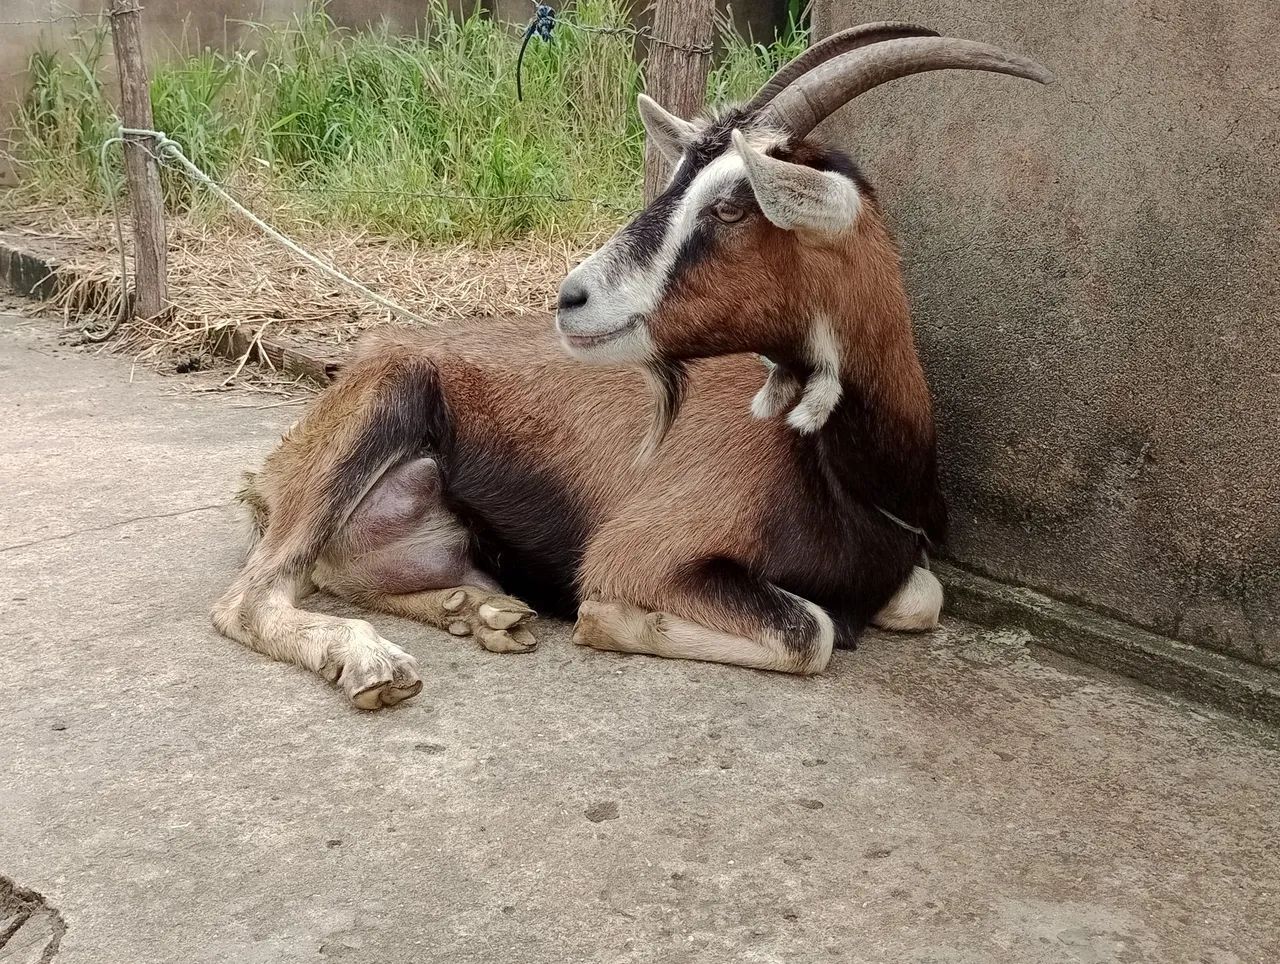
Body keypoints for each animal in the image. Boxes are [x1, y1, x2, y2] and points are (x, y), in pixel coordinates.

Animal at [212, 24, 1052, 708]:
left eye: (731, 206)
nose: (573, 298)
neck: (847, 477)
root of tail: (270, 471)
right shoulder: (645, 554)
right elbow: (809, 631)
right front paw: (605, 619)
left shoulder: (900, 570)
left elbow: (921, 598)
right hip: (377, 412)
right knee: (250, 599)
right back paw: (377, 665)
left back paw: (483, 612)